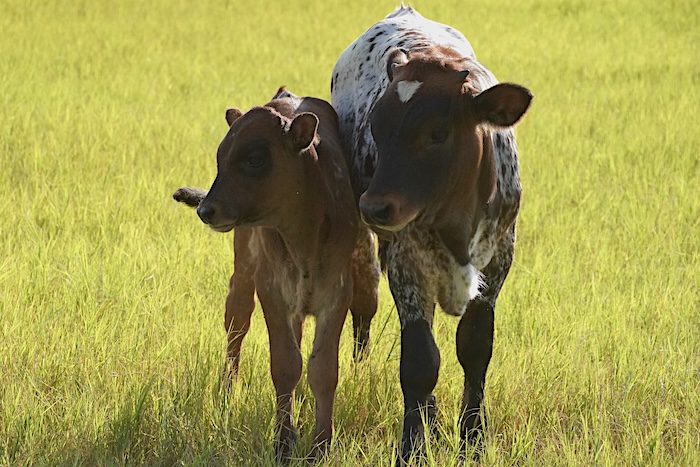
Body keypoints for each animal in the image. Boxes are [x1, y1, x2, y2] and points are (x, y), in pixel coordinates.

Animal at [173, 88, 380, 462]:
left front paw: (320, 445)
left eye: (255, 159)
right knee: (236, 323)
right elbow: (284, 365)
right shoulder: (271, 290)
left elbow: (322, 369)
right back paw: (229, 391)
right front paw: (283, 442)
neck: (303, 236)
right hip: (244, 272)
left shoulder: (337, 293)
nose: (206, 209)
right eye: (221, 157)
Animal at [331, 6, 533, 463]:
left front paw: (473, 439)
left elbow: (474, 349)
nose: (374, 207)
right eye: (377, 127)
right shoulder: (406, 264)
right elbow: (421, 361)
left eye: (438, 132)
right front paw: (413, 448)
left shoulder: (499, 262)